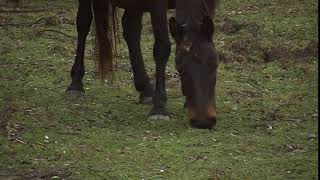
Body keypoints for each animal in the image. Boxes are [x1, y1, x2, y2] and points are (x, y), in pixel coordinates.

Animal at [66, 0, 219, 129]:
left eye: (214, 64)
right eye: (179, 68)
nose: (203, 121)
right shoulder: (157, 5)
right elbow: (162, 48)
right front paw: (159, 108)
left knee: (130, 29)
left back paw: (145, 89)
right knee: (83, 22)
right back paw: (76, 84)